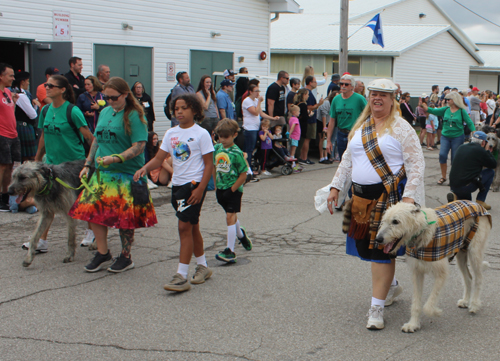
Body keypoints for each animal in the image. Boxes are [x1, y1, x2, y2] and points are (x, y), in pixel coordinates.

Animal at [376, 200, 488, 332]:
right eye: (384, 221)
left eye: (395, 221)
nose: (378, 239)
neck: (422, 231)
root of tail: (475, 203)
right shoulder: (417, 273)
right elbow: (416, 302)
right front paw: (413, 324)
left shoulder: (441, 273)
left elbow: (428, 306)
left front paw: (436, 312)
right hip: (461, 253)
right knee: (468, 278)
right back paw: (466, 301)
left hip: (475, 252)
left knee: (478, 278)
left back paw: (474, 304)